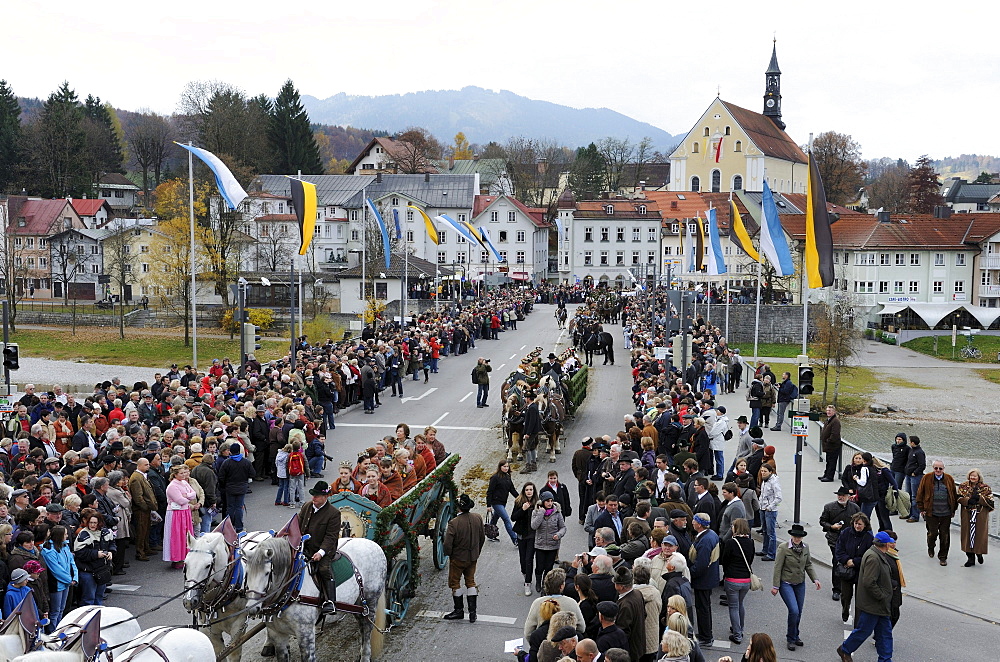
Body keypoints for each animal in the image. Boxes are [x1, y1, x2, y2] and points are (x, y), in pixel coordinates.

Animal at [244, 536, 388, 662]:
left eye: (267, 573)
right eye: (246, 573)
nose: (252, 608)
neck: (292, 587)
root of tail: (374, 544)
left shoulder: (305, 634)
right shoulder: (277, 635)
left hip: (370, 601)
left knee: (367, 629)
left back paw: (365, 656)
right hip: (357, 604)